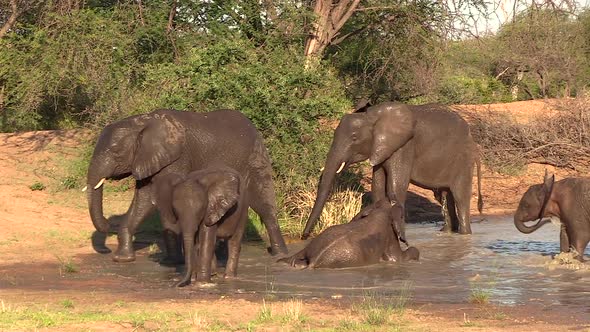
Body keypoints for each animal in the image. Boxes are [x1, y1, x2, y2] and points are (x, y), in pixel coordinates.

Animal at [86, 109, 290, 262]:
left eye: (115, 152)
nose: (108, 223)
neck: (141, 122)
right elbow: (144, 197)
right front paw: (123, 259)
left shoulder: (177, 157)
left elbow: (154, 196)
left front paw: (177, 260)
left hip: (254, 158)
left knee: (263, 203)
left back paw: (279, 255)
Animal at [280, 198, 420, 268]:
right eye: (402, 216)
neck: (381, 210)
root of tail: (314, 260)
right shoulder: (389, 235)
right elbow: (398, 258)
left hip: (311, 245)